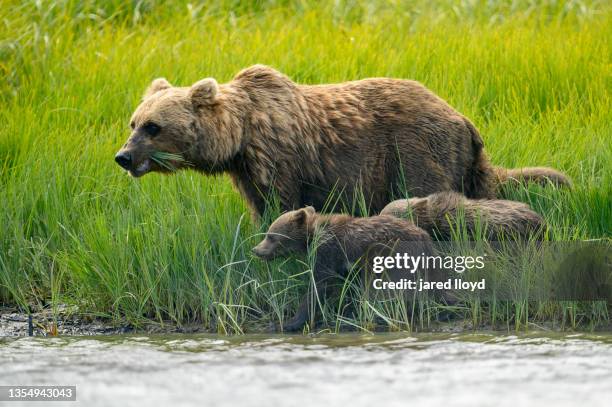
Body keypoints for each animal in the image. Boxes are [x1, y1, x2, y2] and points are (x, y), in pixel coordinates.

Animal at [115, 65, 568, 217]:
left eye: (153, 127)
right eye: (133, 121)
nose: (122, 157)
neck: (240, 137)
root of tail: (463, 119)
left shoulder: (280, 158)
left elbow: (282, 201)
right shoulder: (246, 170)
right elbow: (260, 205)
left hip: (417, 148)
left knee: (430, 190)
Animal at [252, 207, 436, 332]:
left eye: (270, 236)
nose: (255, 250)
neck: (312, 236)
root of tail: (425, 236)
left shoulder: (328, 251)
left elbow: (319, 286)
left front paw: (288, 323)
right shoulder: (345, 265)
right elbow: (346, 288)